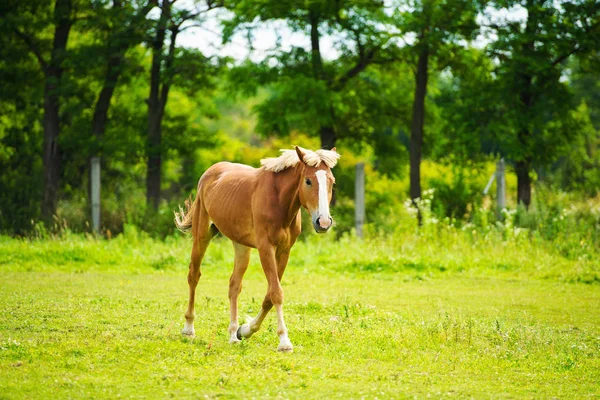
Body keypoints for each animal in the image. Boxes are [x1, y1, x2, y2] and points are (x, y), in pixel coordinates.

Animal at [176, 148, 340, 354]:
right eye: (308, 180)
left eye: (332, 181)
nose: (323, 222)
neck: (279, 200)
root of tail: (210, 172)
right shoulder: (265, 248)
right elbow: (276, 292)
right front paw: (284, 341)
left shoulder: (284, 252)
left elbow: (269, 295)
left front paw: (245, 330)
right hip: (202, 236)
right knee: (194, 275)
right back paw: (189, 328)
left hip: (241, 246)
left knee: (234, 285)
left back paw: (233, 335)